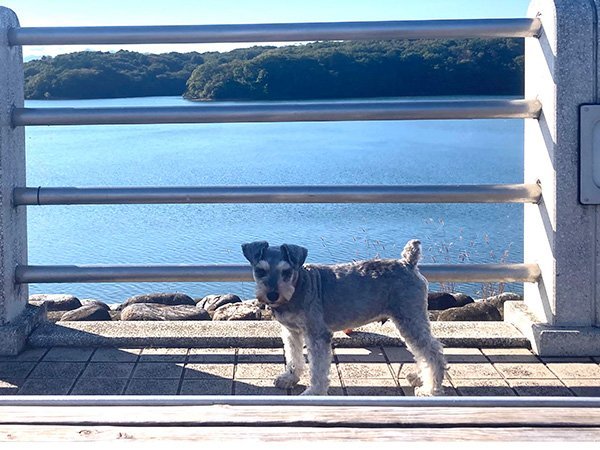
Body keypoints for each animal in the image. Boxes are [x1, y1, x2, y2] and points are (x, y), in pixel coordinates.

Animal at [243, 239, 446, 394]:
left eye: (286, 271)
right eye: (260, 271)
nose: (272, 295)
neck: (298, 286)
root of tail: (408, 263)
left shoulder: (317, 335)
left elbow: (318, 368)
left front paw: (314, 392)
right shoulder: (292, 332)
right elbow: (294, 356)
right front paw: (289, 378)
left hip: (410, 318)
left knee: (432, 352)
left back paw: (430, 389)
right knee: (423, 352)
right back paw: (419, 377)